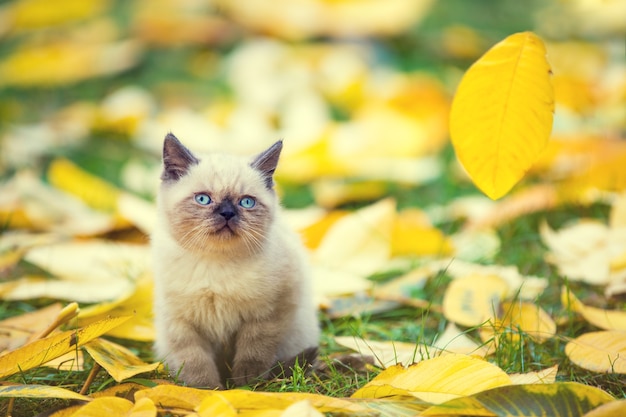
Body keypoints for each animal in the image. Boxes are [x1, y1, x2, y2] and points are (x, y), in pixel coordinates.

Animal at [151, 133, 316, 386]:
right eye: (203, 199)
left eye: (246, 202)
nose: (227, 213)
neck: (216, 265)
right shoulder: (182, 323)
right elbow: (196, 364)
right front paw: (208, 390)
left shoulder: (266, 316)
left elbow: (252, 356)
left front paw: (245, 387)